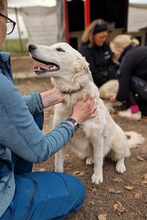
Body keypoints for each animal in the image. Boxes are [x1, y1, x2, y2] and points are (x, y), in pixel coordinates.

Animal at [29, 42, 145, 184]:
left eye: (59, 50)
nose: (30, 46)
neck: (73, 96)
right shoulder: (62, 139)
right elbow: (58, 164)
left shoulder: (97, 137)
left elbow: (99, 161)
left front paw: (98, 176)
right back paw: (90, 159)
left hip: (117, 143)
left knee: (121, 156)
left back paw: (120, 166)